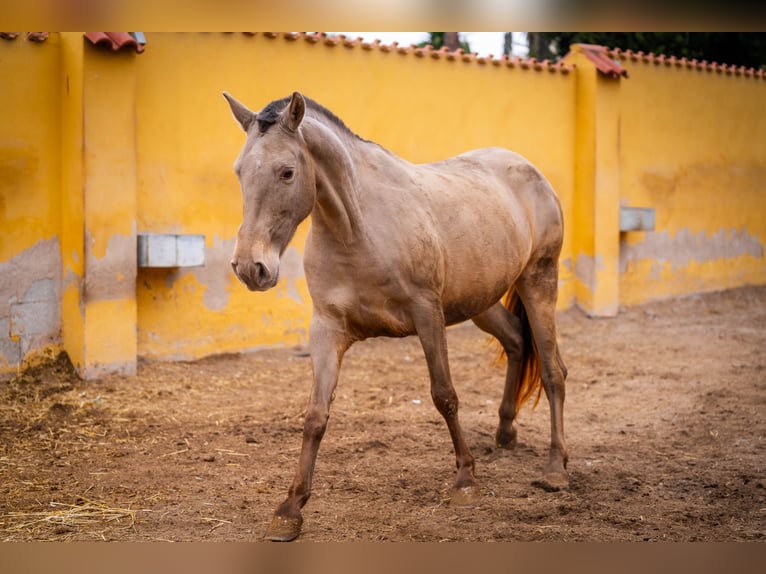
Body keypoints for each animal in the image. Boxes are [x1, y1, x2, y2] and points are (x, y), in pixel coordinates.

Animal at [223, 91, 568, 541]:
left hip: (539, 281)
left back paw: (556, 467)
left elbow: (445, 396)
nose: (251, 268)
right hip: (482, 301)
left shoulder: (428, 314)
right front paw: (290, 509)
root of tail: (530, 172)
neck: (358, 229)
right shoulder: (326, 329)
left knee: (553, 370)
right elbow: (315, 416)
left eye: (287, 172)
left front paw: (465, 481)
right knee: (515, 340)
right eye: (240, 171)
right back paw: (506, 431)